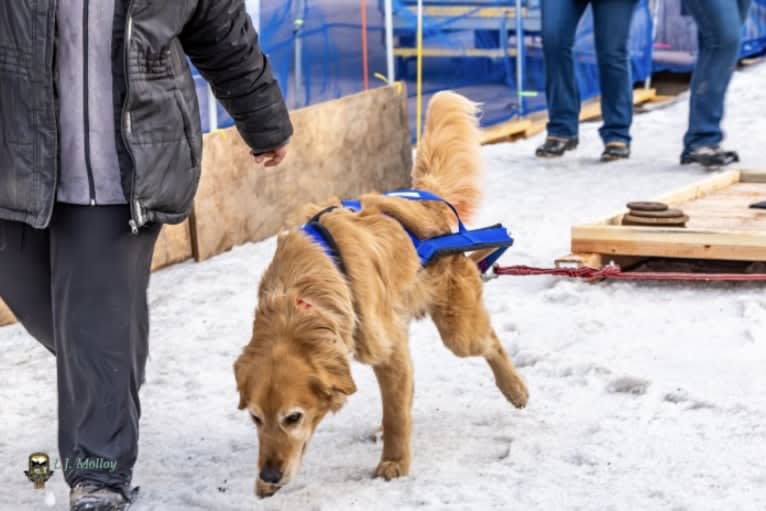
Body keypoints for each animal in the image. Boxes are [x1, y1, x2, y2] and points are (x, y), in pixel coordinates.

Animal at [237, 90, 532, 498]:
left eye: (292, 417)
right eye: (255, 417)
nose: (268, 474)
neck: (303, 294)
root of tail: (429, 200)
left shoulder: (388, 350)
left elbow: (395, 414)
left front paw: (394, 462)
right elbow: (396, 404)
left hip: (458, 332)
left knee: (489, 343)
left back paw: (515, 388)